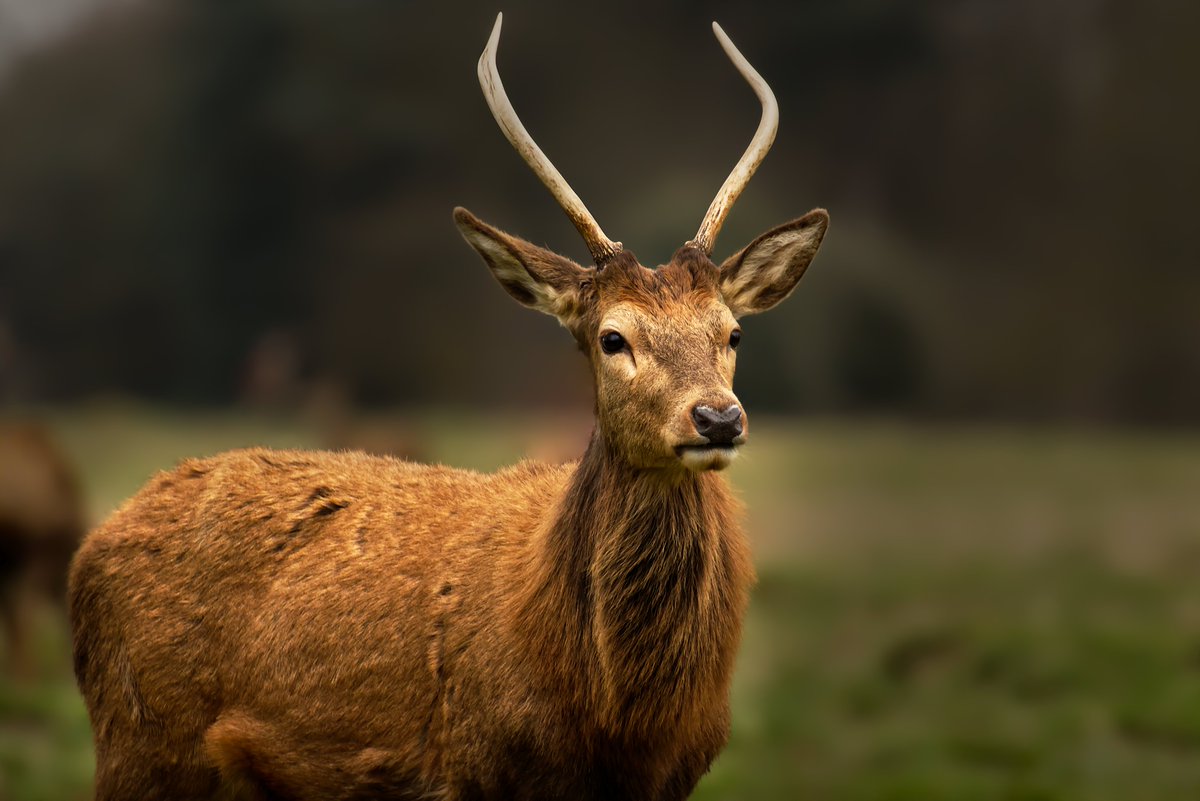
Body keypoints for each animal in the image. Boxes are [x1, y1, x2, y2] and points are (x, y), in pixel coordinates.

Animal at [68, 13, 828, 801]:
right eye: (613, 337)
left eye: (732, 332)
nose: (718, 418)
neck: (615, 726)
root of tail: (92, 546)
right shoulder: (476, 764)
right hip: (142, 746)